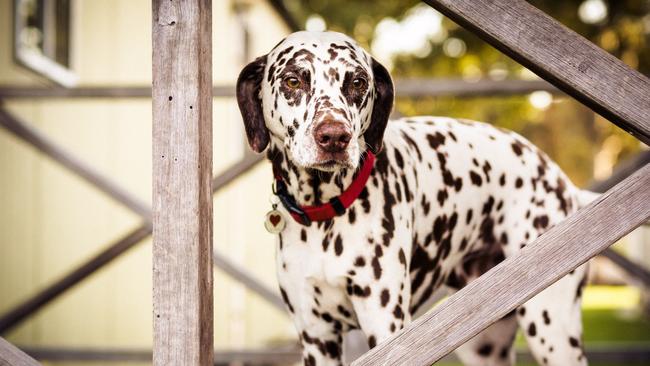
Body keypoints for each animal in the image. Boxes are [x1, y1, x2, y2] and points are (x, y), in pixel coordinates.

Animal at [235, 31, 588, 366]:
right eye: (293, 80)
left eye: (358, 82)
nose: (334, 136)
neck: (326, 217)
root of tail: (564, 182)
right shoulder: (317, 338)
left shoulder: (386, 327)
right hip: (485, 344)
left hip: (551, 330)